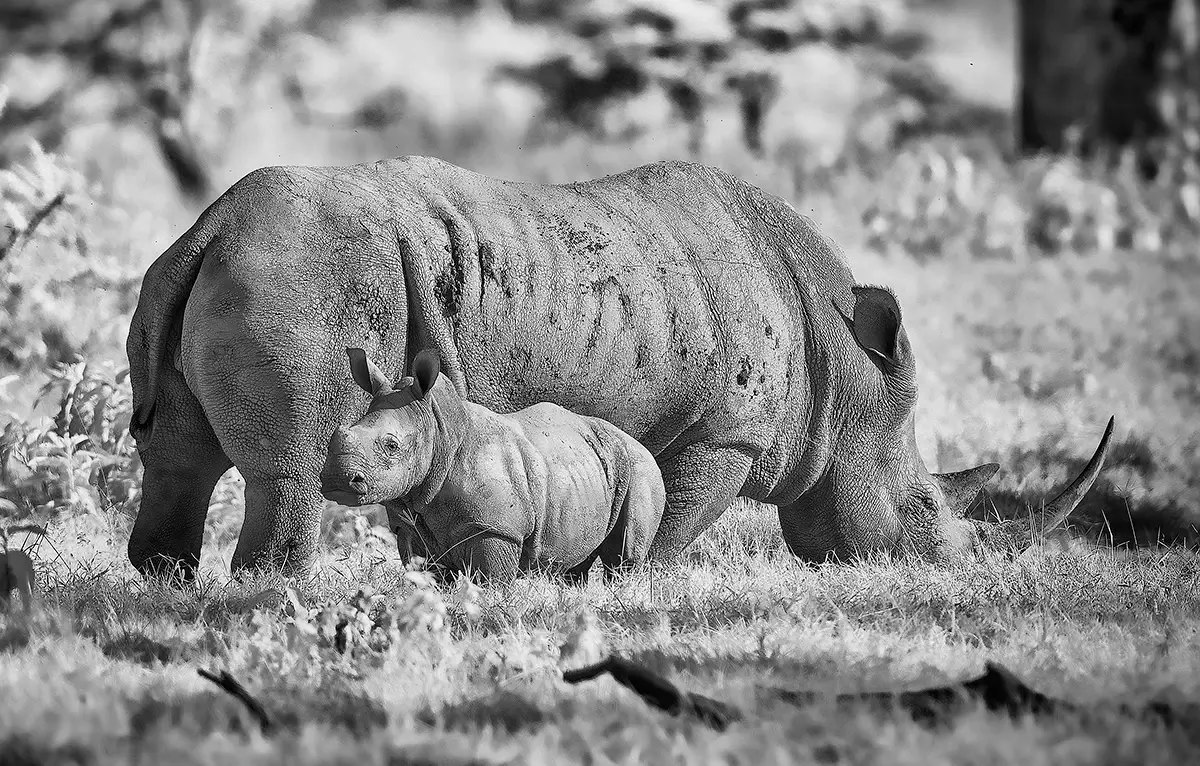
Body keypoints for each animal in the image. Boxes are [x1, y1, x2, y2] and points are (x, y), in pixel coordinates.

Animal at [319, 346, 666, 583]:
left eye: (391, 446)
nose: (337, 480)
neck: (440, 432)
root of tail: (640, 446)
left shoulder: (496, 528)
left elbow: (490, 583)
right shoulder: (409, 525)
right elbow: (426, 578)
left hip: (641, 468)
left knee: (624, 557)